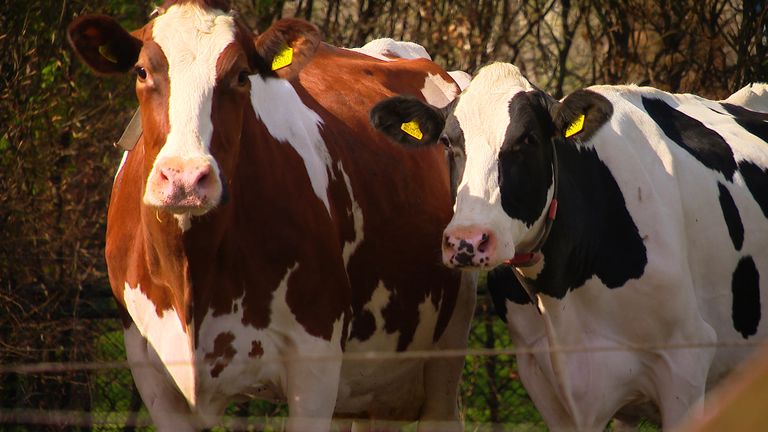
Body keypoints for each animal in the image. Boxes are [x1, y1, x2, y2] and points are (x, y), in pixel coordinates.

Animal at [69, 1, 474, 430]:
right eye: (143, 71)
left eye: (241, 75)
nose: (185, 178)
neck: (192, 273)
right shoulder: (153, 374)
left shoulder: (315, 363)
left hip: (444, 356)